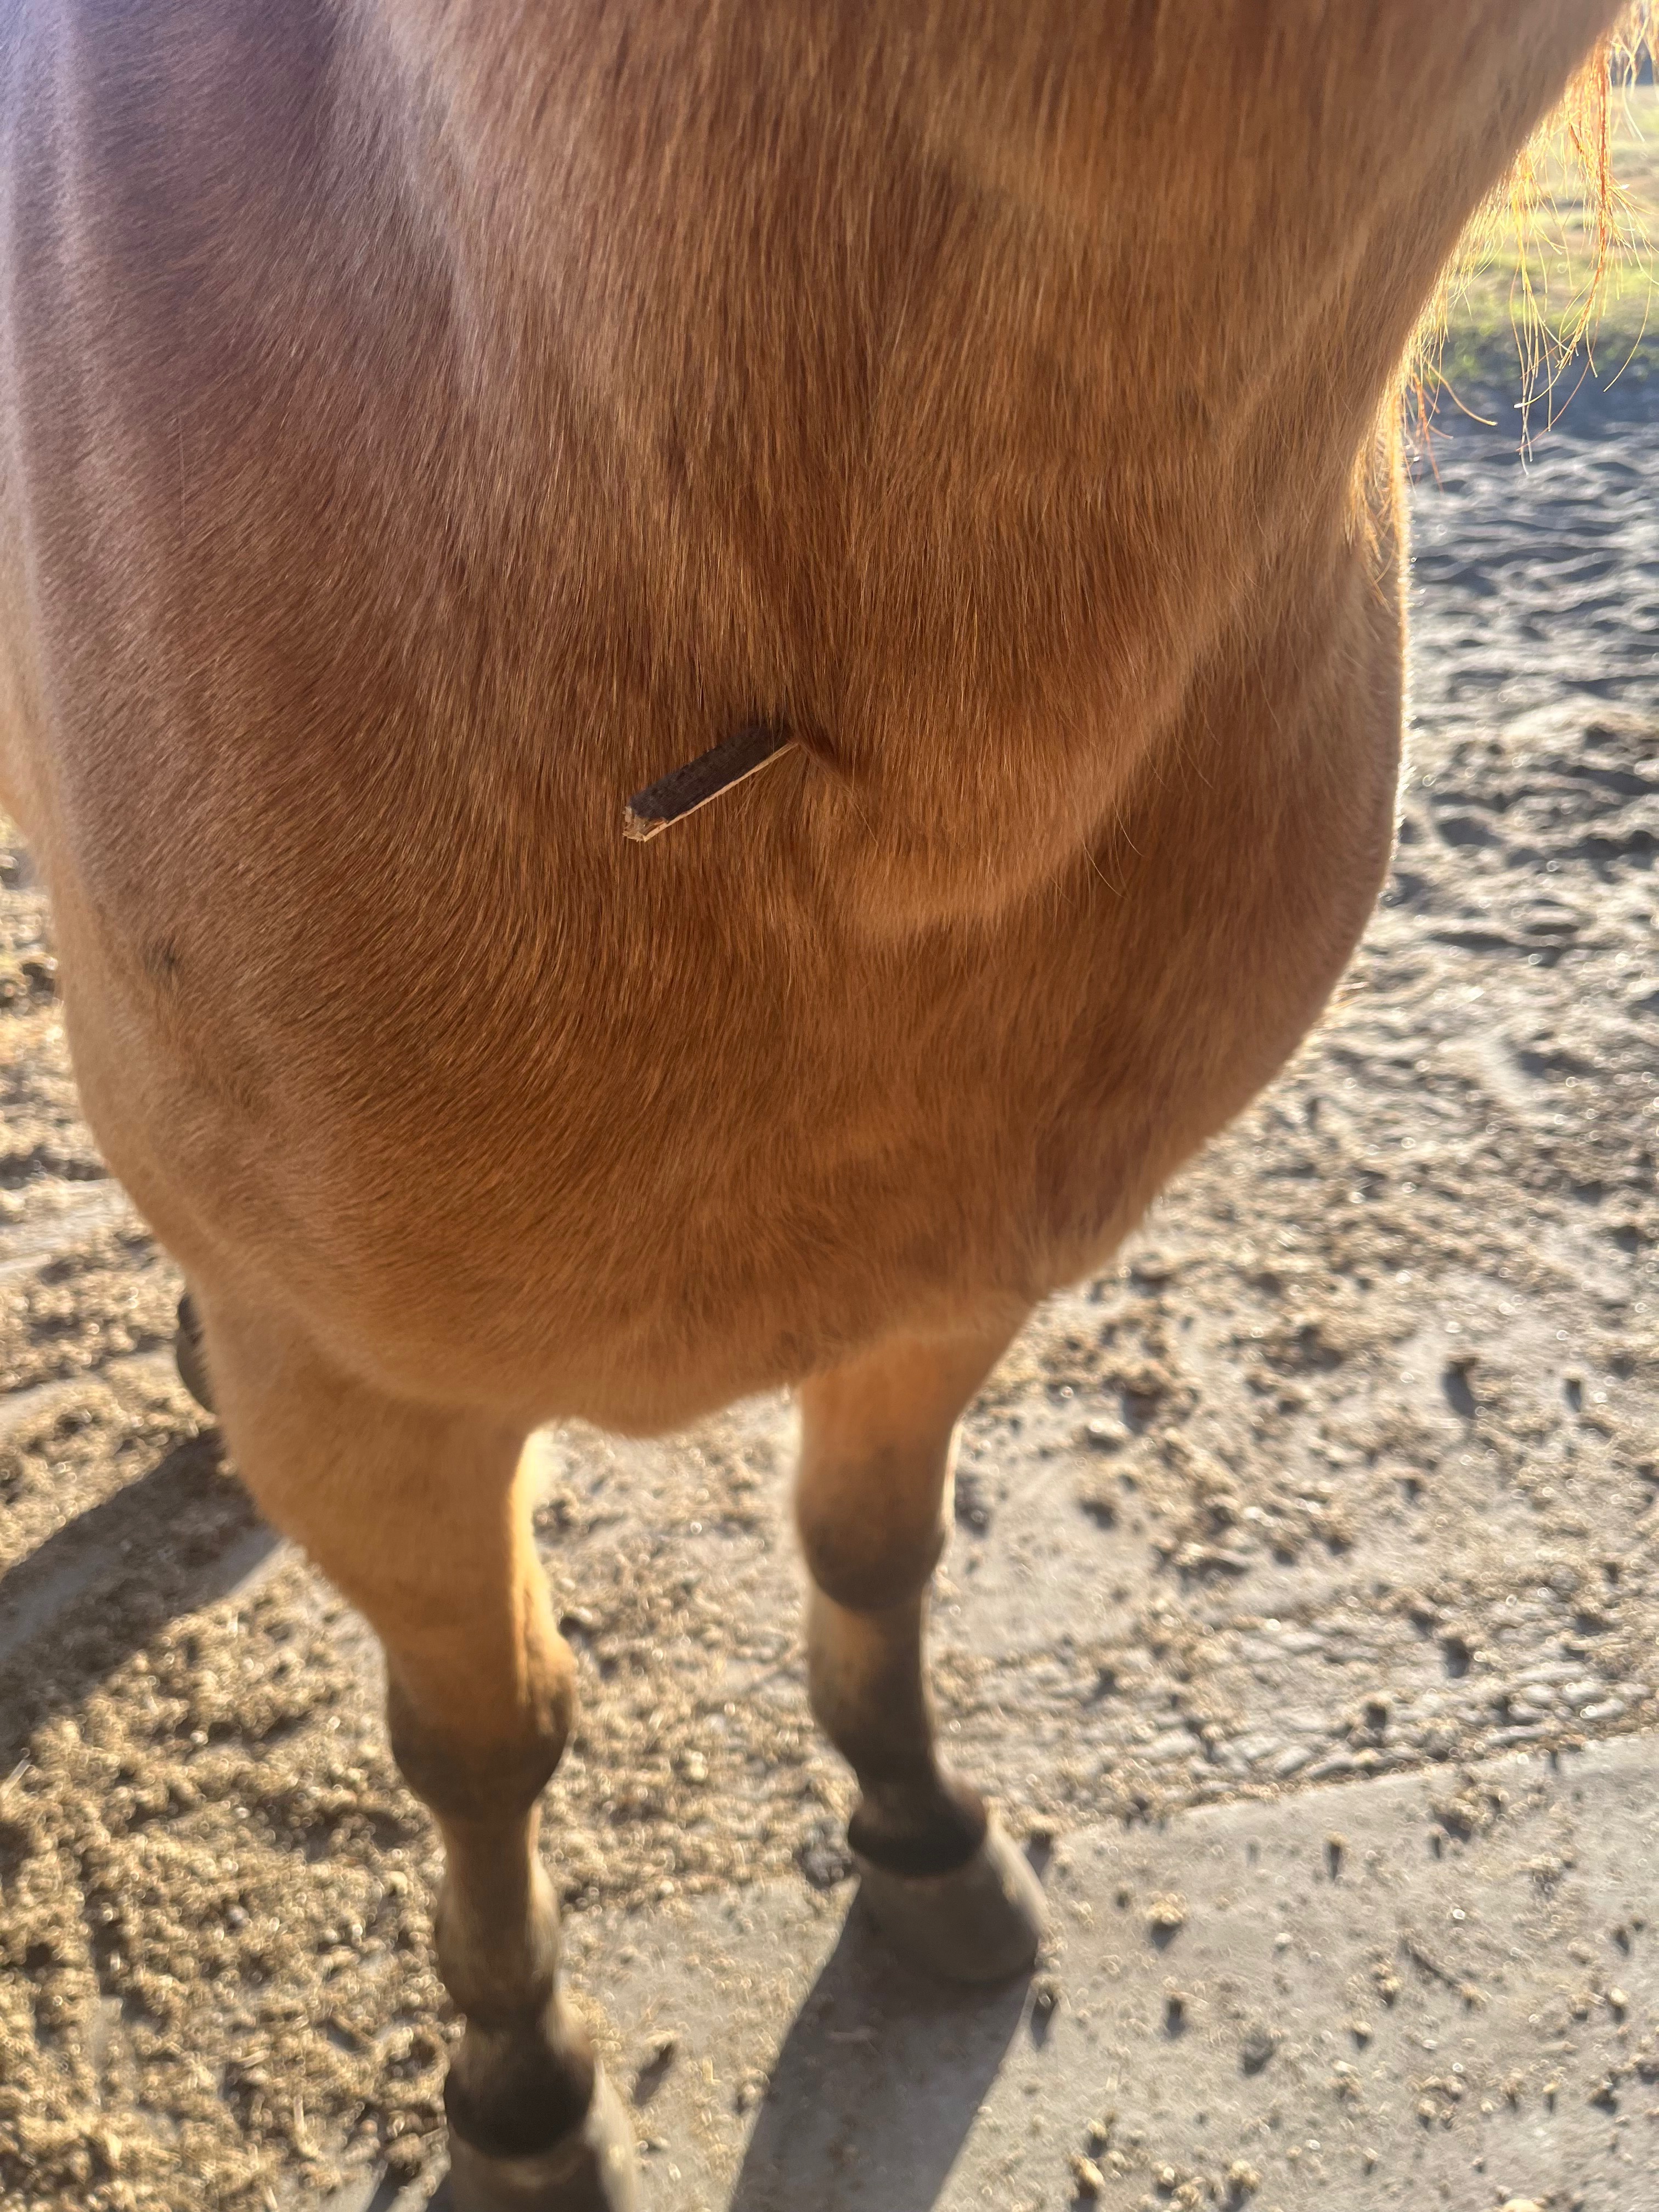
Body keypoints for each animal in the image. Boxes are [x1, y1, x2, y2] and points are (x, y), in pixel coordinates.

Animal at [0, 2, 1625, 2204]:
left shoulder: (953, 1264)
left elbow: (872, 1551)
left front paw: (919, 1842)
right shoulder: (367, 1404)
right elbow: (485, 1736)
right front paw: (522, 2089)